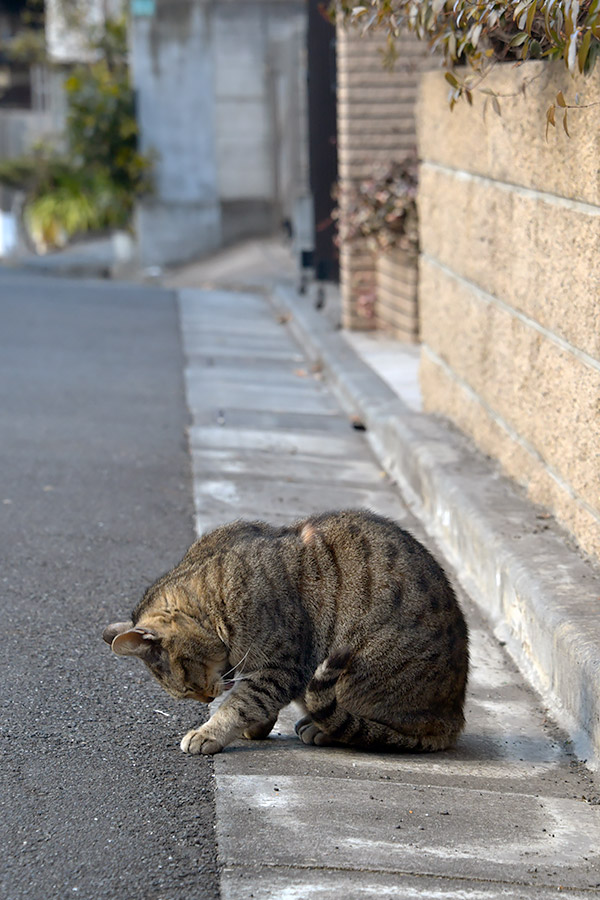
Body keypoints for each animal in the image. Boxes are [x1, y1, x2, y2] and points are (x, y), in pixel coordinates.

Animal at [103, 510, 468, 756]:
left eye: (190, 686)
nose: (206, 698)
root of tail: (453, 718)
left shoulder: (282, 667)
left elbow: (240, 704)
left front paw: (209, 732)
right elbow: (254, 703)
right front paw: (256, 729)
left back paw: (321, 730)